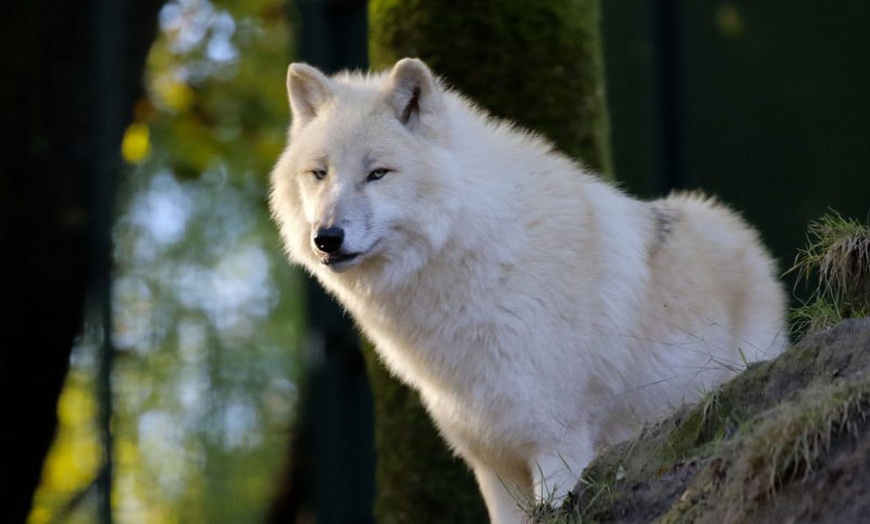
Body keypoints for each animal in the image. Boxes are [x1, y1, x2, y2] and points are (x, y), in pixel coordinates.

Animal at [268, 58, 792, 524]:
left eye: (378, 173)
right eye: (320, 174)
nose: (326, 238)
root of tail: (744, 235)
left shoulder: (559, 446)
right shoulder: (493, 464)